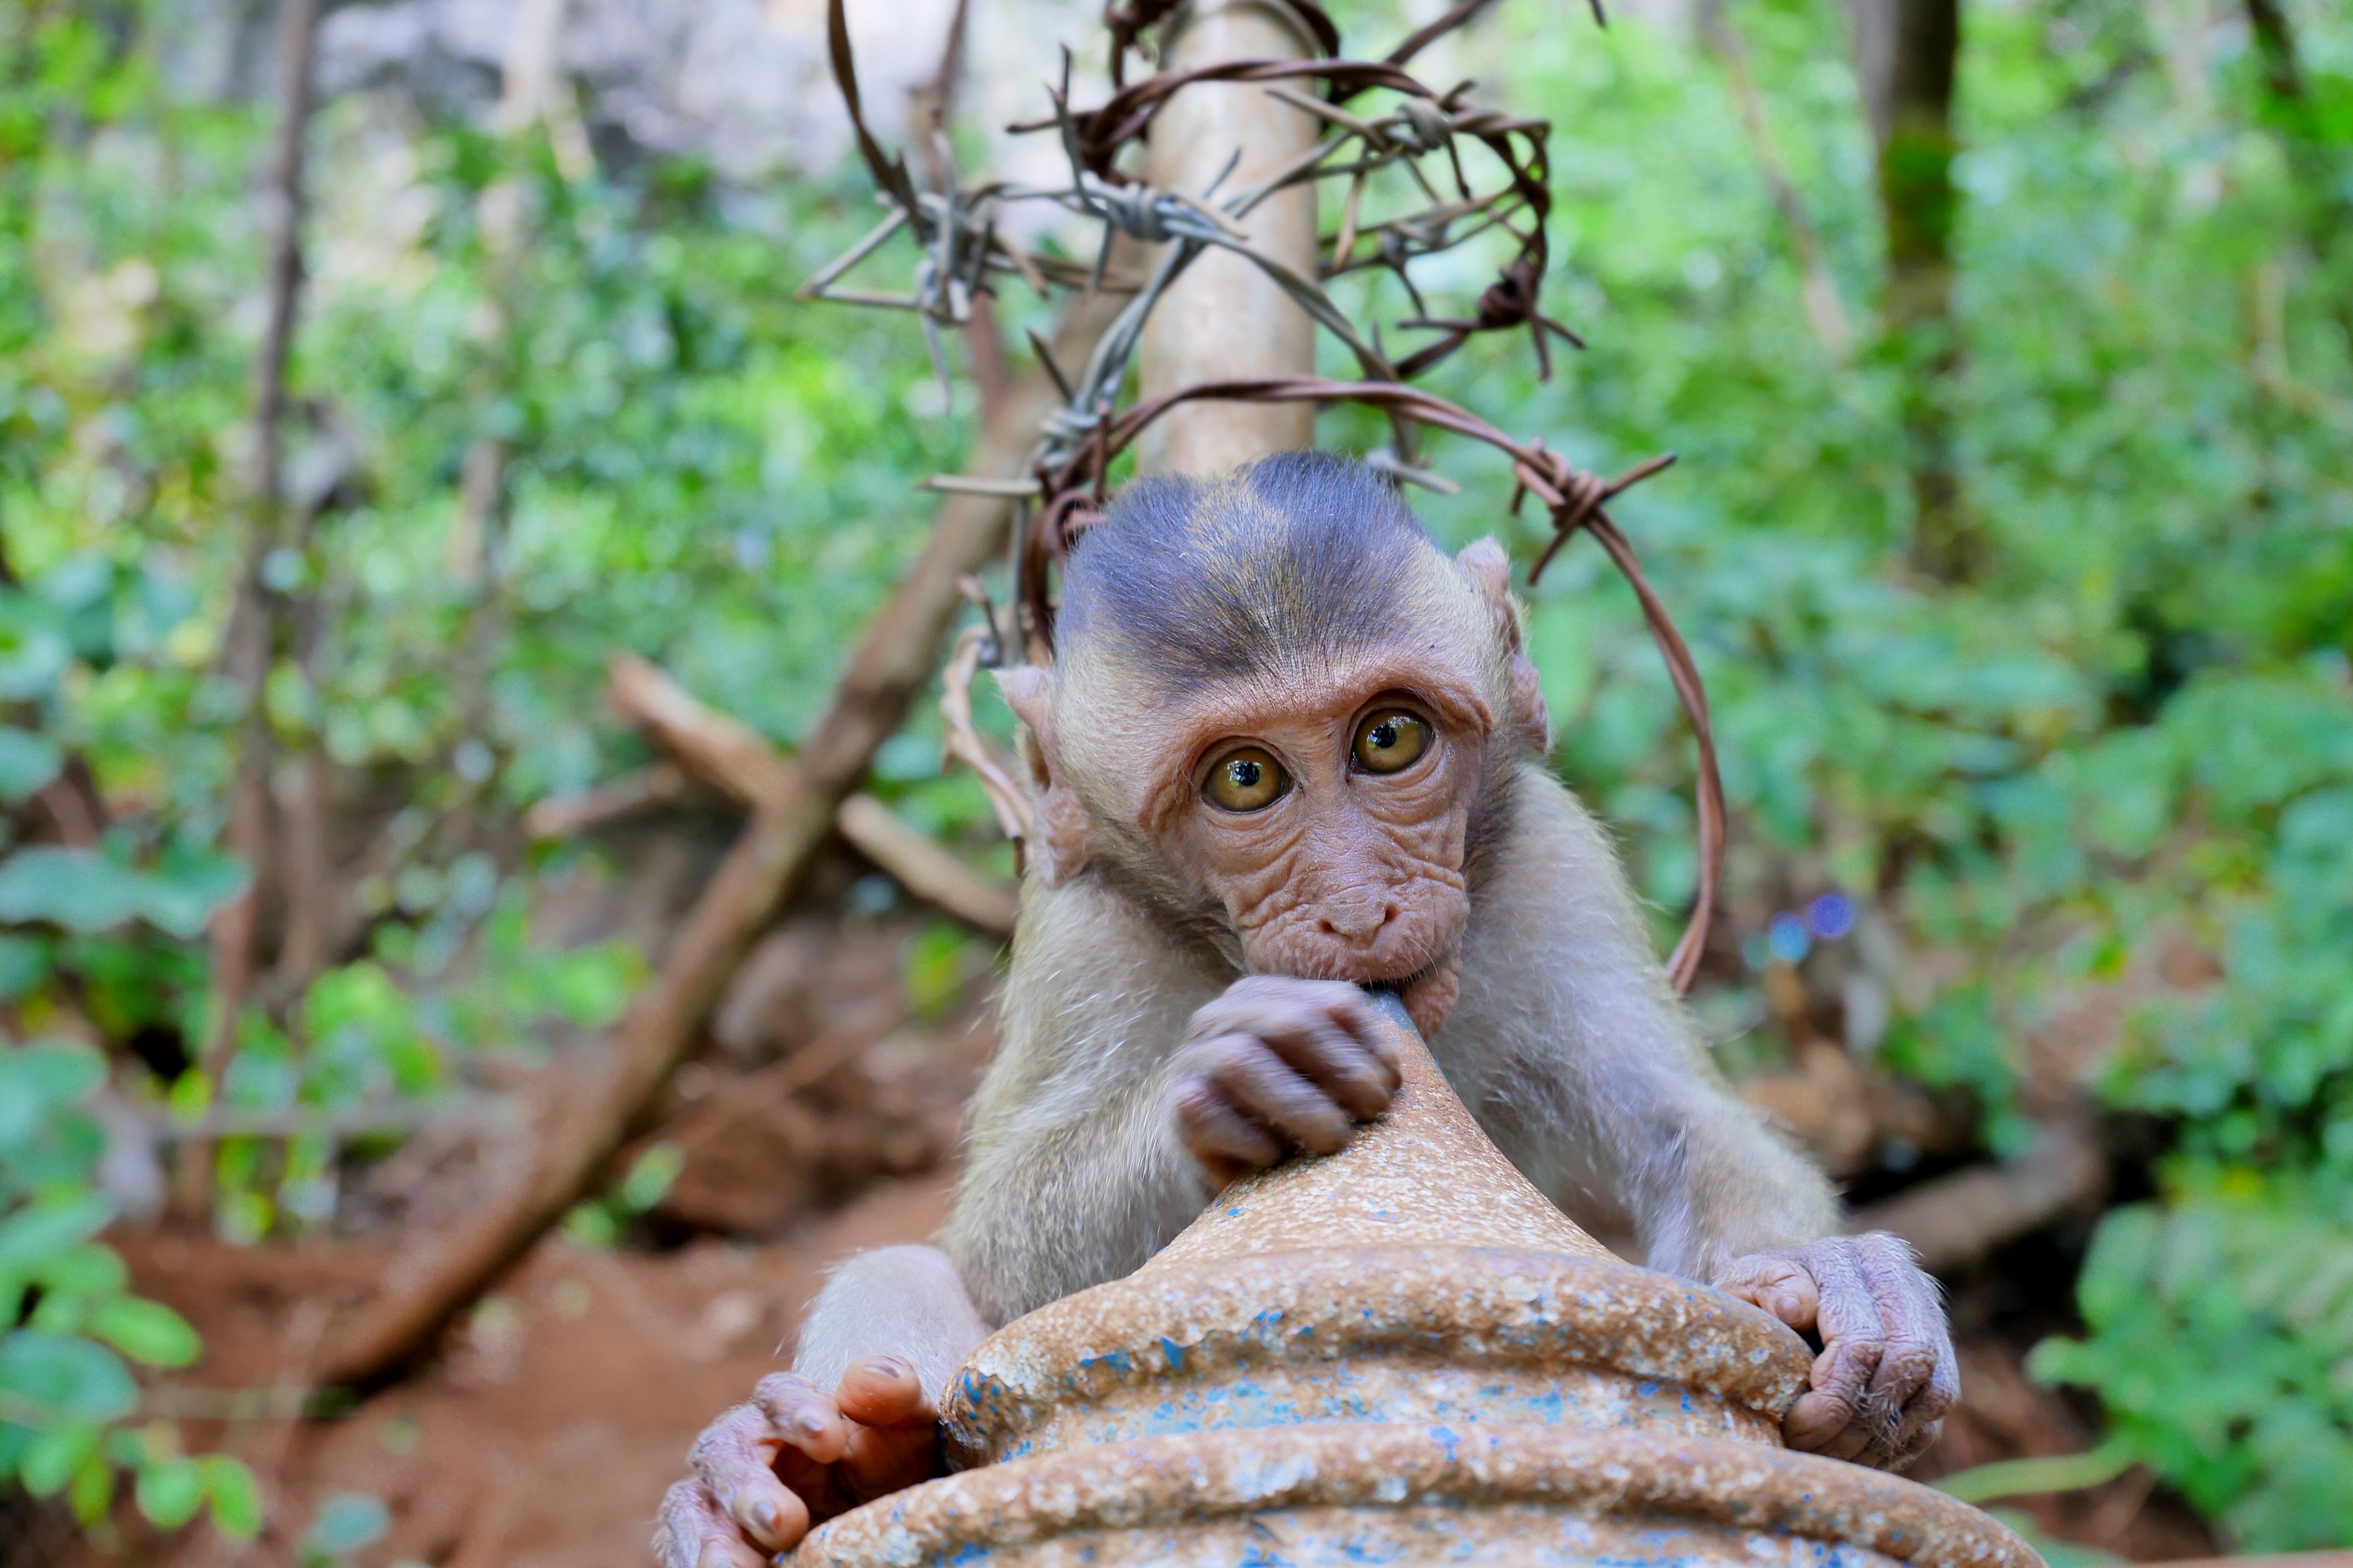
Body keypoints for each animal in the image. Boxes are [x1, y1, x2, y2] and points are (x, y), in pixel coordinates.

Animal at [655, 453, 1958, 1568]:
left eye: (1387, 737)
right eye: (1245, 777)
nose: (1355, 906)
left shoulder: (1550, 859)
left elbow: (1683, 1123)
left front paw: (1835, 1286)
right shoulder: (1082, 929)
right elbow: (1001, 1240)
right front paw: (1229, 1080)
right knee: (902, 1272)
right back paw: (827, 1467)